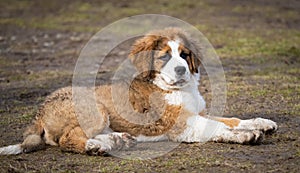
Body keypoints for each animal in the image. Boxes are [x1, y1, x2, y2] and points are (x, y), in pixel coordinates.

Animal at [0, 27, 278, 155]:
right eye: (164, 57)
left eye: (184, 55)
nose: (181, 70)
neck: (177, 88)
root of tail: (39, 112)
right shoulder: (181, 125)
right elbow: (218, 126)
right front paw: (246, 135)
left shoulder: (195, 116)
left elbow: (230, 119)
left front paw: (261, 123)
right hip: (96, 109)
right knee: (67, 139)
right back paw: (95, 146)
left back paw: (116, 140)